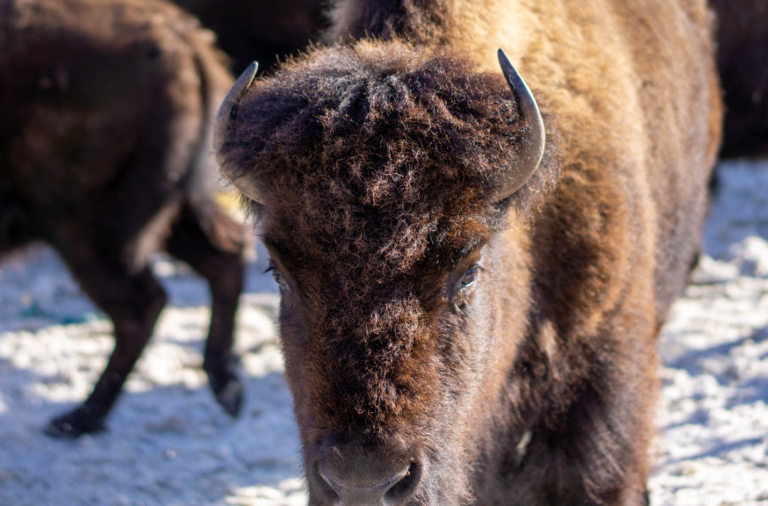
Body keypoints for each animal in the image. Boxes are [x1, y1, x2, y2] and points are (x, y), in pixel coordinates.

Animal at [0, 0, 246, 437]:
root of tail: (177, 32)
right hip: (163, 215)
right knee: (223, 259)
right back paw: (227, 388)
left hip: (83, 230)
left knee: (140, 305)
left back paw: (78, 418)